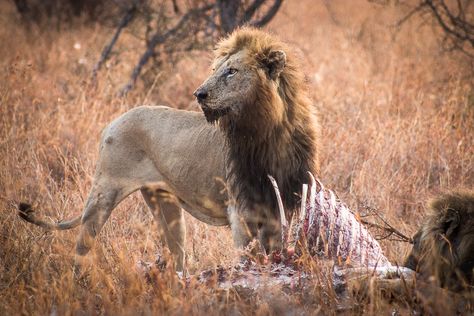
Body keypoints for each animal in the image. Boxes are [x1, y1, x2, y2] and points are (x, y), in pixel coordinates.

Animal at [20, 27, 320, 272]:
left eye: (231, 71)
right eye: (215, 70)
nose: (199, 94)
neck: (270, 132)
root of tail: (111, 123)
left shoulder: (280, 205)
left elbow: (274, 250)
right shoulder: (241, 209)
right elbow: (250, 257)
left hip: (164, 203)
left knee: (176, 257)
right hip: (103, 193)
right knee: (82, 247)